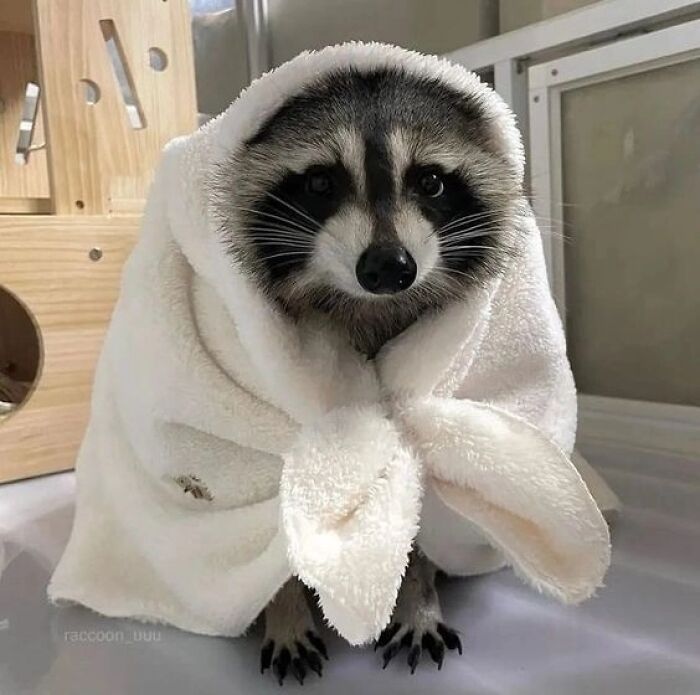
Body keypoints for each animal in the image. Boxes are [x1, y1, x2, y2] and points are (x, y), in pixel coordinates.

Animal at [213, 66, 525, 683]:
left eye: (431, 181)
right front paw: (284, 608)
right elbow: (272, 518)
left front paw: (418, 597)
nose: (388, 266)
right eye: (319, 183)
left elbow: (421, 510)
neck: (368, 305)